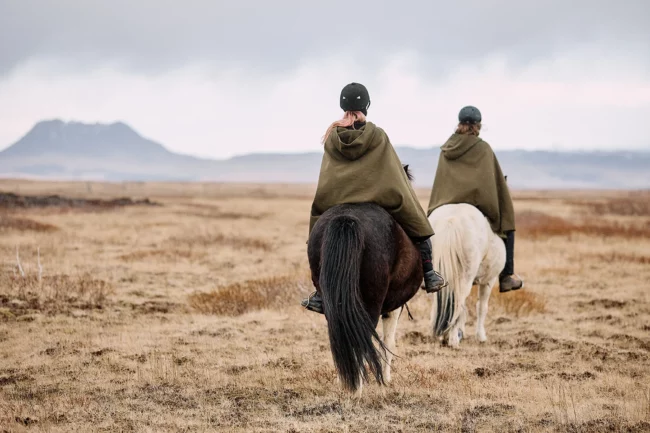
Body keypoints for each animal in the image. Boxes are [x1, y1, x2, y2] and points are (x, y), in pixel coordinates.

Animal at [307, 168, 423, 397]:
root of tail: (346, 218)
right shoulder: (393, 306)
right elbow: (389, 339)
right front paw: (386, 379)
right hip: (371, 301)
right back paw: (357, 388)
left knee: (340, 331)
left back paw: (347, 381)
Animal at [428, 203, 506, 348]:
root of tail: (451, 220)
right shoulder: (488, 281)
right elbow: (481, 307)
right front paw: (480, 336)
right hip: (465, 279)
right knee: (458, 304)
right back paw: (453, 340)